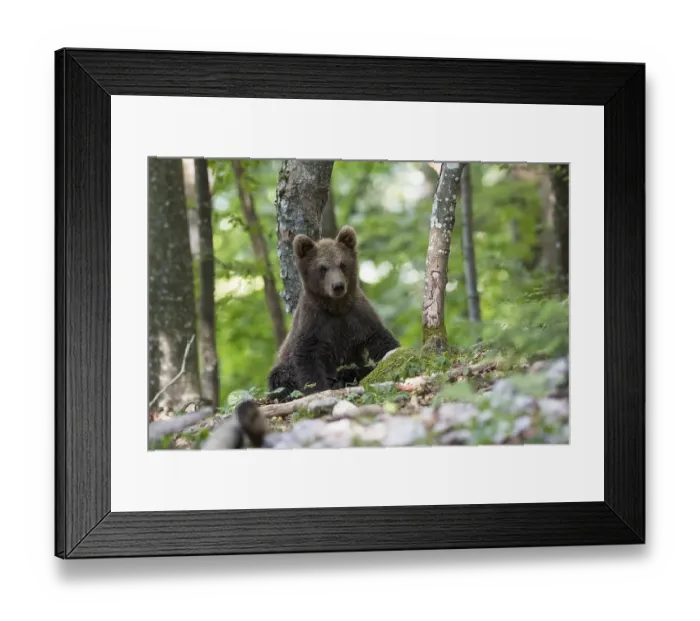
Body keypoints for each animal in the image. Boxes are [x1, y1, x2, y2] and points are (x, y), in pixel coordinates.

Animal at [268, 225, 400, 401]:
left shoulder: (359, 317)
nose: (338, 286)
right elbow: (307, 358)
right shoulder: (313, 323)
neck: (336, 308)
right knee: (279, 377)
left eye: (342, 264)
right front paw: (318, 389)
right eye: (322, 268)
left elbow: (382, 340)